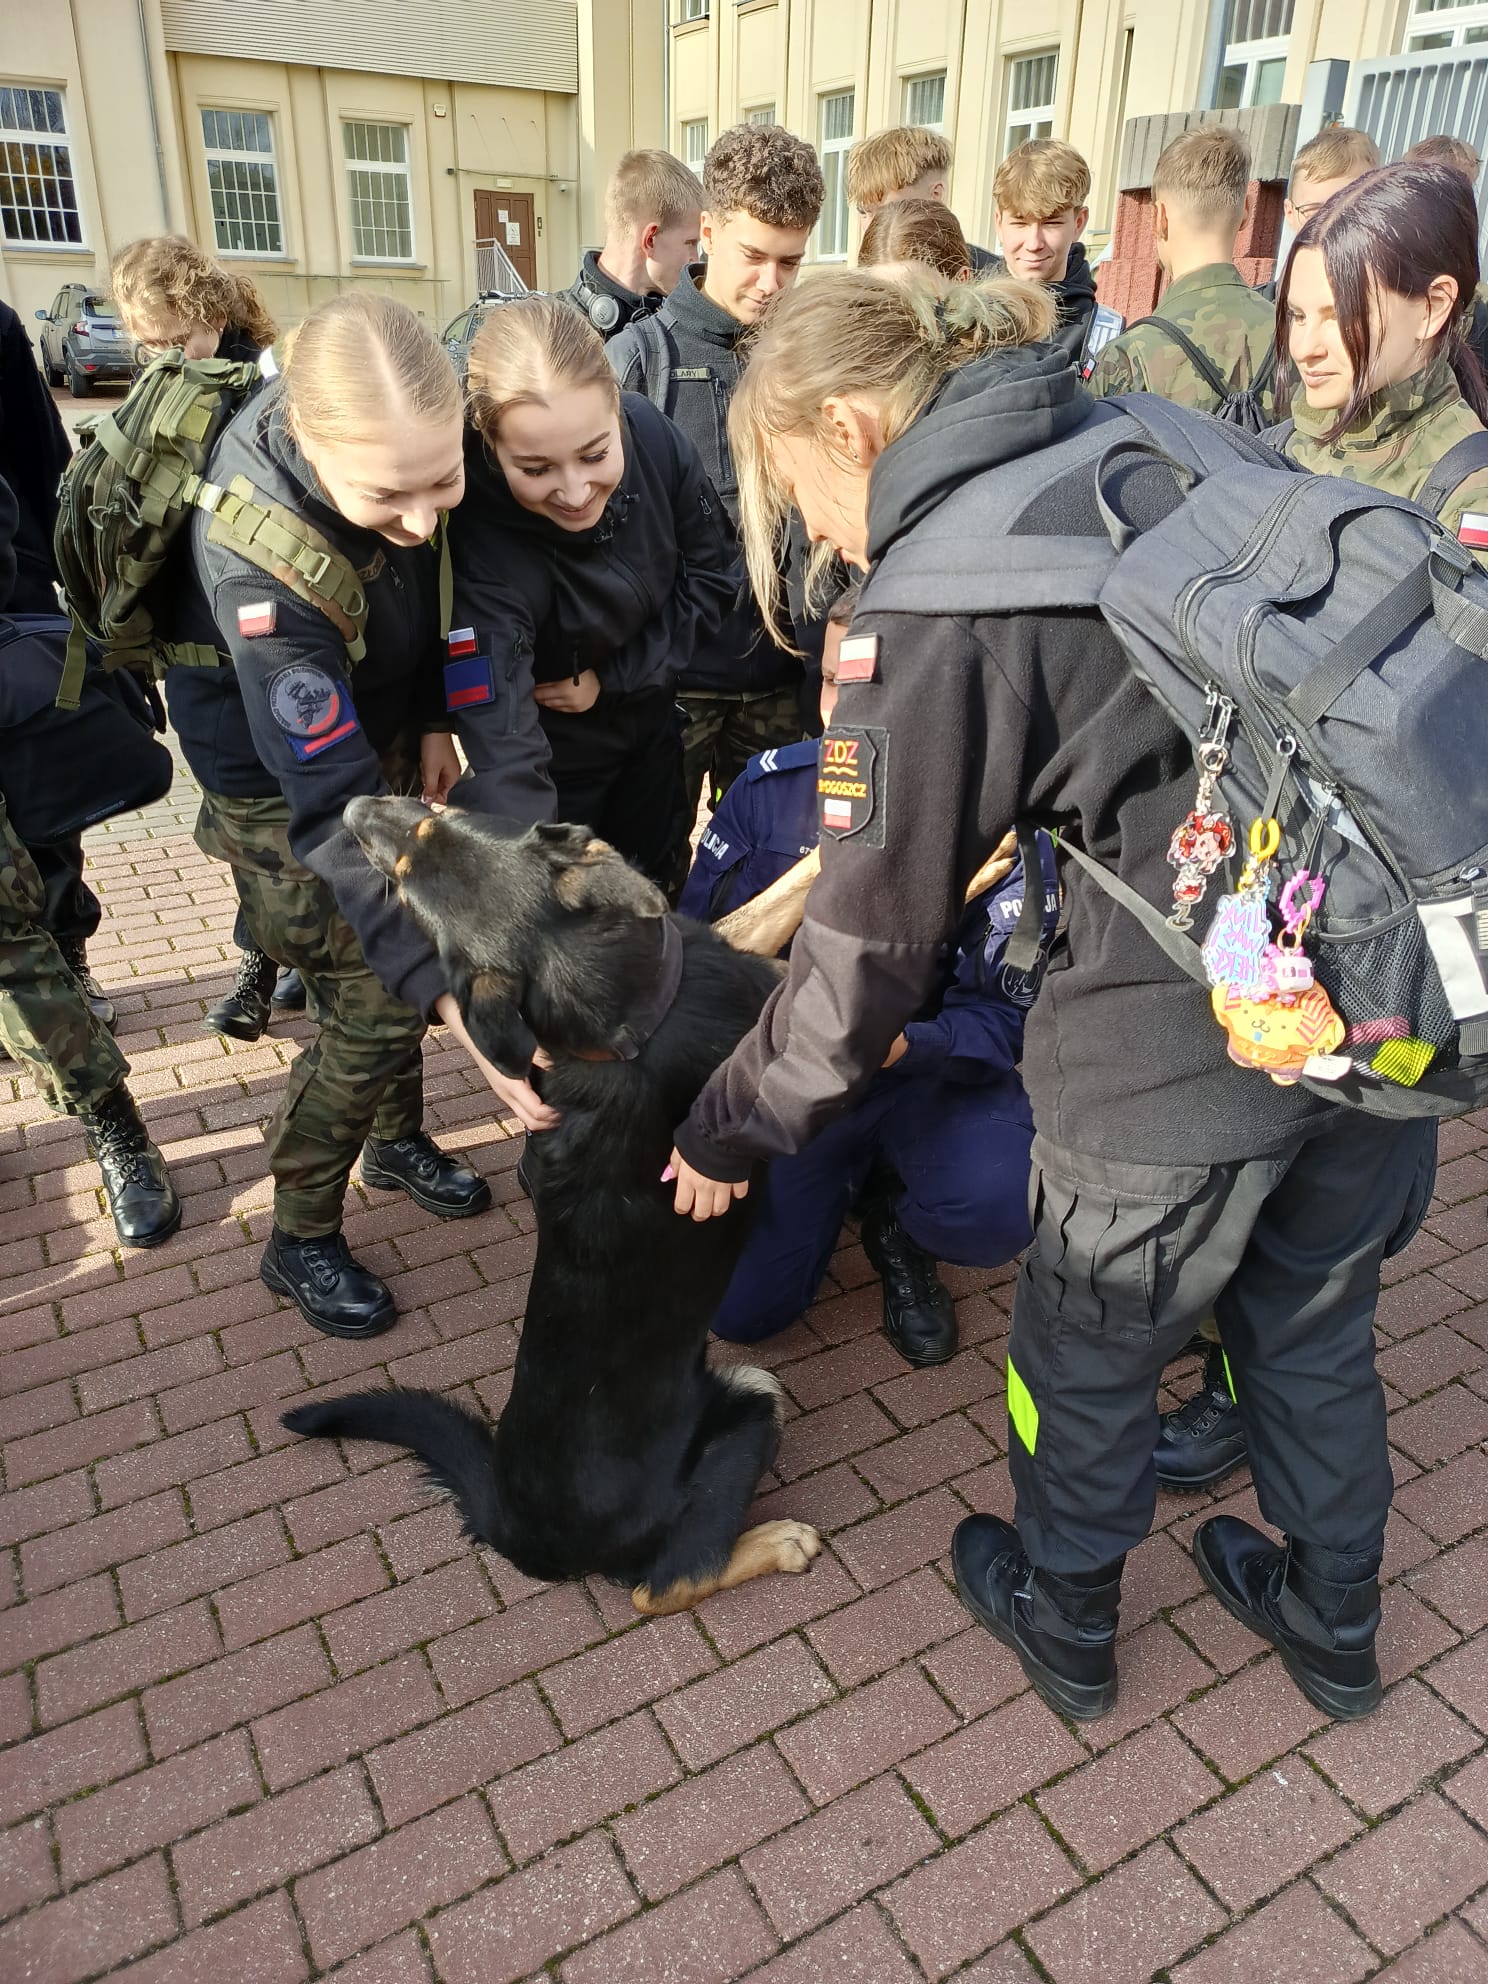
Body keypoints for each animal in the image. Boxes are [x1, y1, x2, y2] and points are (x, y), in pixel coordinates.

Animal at [282, 797, 822, 1614]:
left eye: (432, 819)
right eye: (404, 868)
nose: (346, 810)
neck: (624, 1024)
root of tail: (515, 1526)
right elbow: (808, 893)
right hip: (753, 1401)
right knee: (663, 1585)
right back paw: (778, 1543)